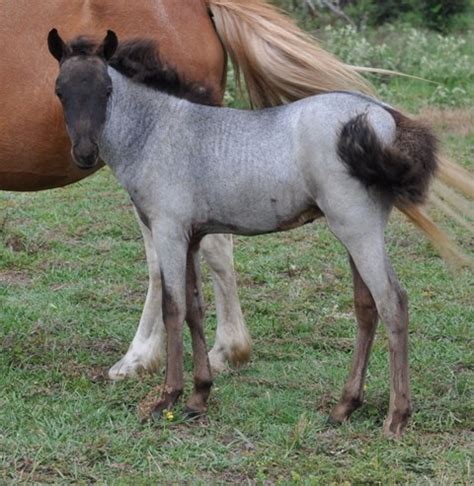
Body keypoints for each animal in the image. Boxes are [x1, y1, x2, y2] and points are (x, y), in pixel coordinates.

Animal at [46, 28, 438, 434]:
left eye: (106, 90)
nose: (85, 153)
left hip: (358, 229)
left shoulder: (168, 231)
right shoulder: (191, 237)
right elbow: (195, 309)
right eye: (60, 90)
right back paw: (344, 407)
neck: (156, 131)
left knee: (392, 302)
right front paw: (199, 397)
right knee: (366, 306)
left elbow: (173, 307)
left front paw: (168, 397)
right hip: (354, 231)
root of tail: (384, 115)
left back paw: (396, 417)